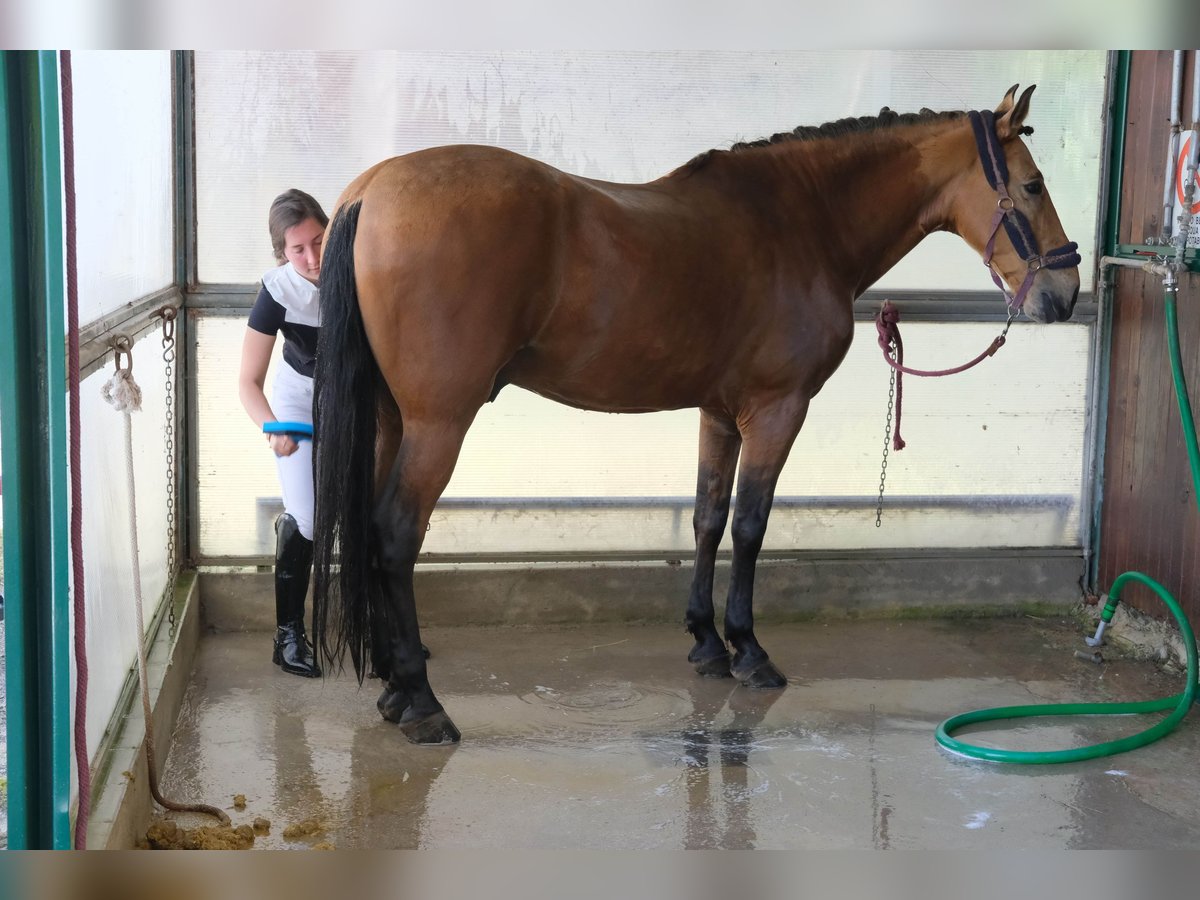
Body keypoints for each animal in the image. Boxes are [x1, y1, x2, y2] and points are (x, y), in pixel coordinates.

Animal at [311, 84, 1082, 744]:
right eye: (1033, 185)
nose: (1067, 294)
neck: (802, 221)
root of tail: (370, 193)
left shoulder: (718, 412)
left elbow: (708, 517)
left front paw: (708, 643)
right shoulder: (777, 409)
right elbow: (750, 525)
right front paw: (749, 650)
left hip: (390, 420)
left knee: (370, 528)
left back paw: (392, 689)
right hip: (438, 423)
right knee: (396, 533)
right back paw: (422, 702)